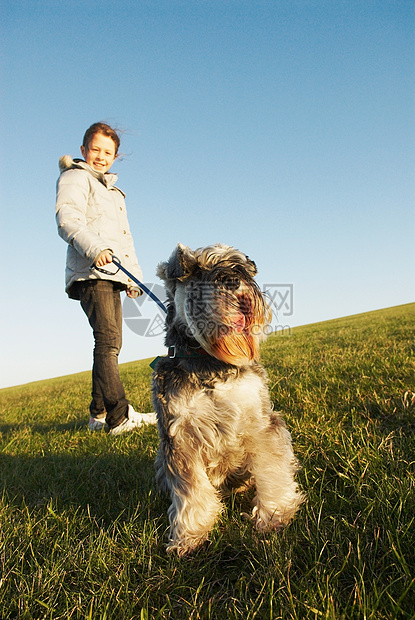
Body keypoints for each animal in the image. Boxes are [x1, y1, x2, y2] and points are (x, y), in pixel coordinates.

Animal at [151, 243, 304, 556]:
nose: (233, 281)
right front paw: (190, 536)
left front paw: (274, 514)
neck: (211, 364)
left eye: (238, 266)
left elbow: (272, 466)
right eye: (195, 270)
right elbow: (190, 490)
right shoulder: (179, 437)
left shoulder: (262, 423)